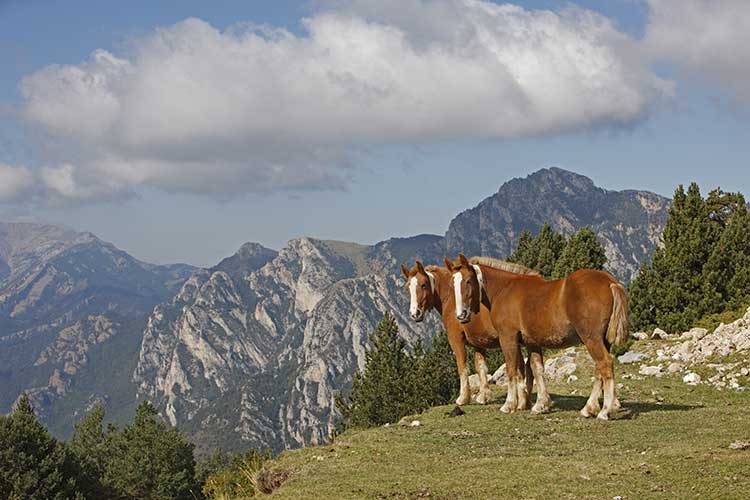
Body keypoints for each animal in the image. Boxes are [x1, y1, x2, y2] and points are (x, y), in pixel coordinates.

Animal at [402, 260, 556, 412]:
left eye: (423, 284)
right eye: (407, 287)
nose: (414, 314)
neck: (451, 297)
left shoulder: (456, 338)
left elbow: (462, 366)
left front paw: (463, 398)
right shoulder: (478, 342)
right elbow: (481, 366)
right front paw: (484, 396)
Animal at [446, 252, 628, 420]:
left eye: (468, 281)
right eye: (452, 283)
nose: (461, 315)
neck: (503, 289)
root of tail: (610, 282)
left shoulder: (508, 338)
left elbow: (511, 369)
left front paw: (509, 405)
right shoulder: (532, 342)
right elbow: (536, 368)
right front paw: (541, 404)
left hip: (591, 338)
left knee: (605, 363)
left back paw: (605, 411)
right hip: (602, 340)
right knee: (599, 369)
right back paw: (589, 408)